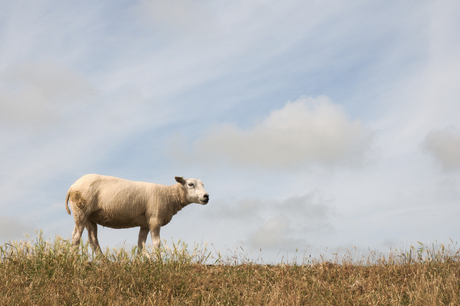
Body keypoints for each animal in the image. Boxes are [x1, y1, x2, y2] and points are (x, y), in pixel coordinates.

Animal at [64, 173, 208, 252]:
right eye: (190, 184)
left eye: (203, 184)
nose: (206, 196)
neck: (169, 196)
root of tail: (72, 186)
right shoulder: (155, 219)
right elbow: (157, 243)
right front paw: (159, 262)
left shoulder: (145, 224)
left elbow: (140, 244)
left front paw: (140, 261)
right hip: (81, 211)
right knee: (76, 237)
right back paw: (74, 260)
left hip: (90, 217)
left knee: (93, 240)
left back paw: (104, 261)